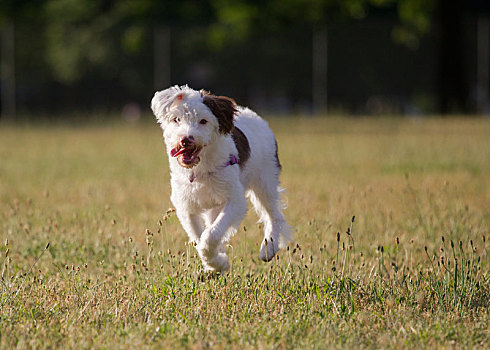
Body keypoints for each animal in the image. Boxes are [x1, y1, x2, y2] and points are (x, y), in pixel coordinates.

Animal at [151, 86, 290, 272]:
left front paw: (218, 262)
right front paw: (216, 264)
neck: (201, 169)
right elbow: (199, 238)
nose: (185, 139)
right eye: (176, 119)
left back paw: (268, 248)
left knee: (273, 215)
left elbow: (211, 234)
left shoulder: (234, 200)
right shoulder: (187, 207)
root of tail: (254, 115)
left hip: (265, 180)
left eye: (203, 121)